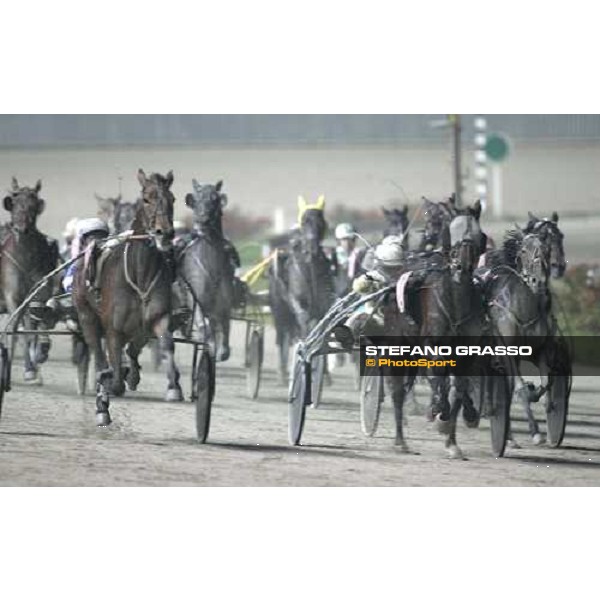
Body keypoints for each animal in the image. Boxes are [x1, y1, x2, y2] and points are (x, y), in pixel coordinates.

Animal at [74, 169, 180, 426]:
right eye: (147, 198)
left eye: (172, 199)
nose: (165, 233)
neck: (140, 274)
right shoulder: (113, 329)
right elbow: (113, 374)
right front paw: (106, 394)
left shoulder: (155, 319)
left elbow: (166, 344)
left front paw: (173, 387)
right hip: (86, 315)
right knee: (97, 352)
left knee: (132, 349)